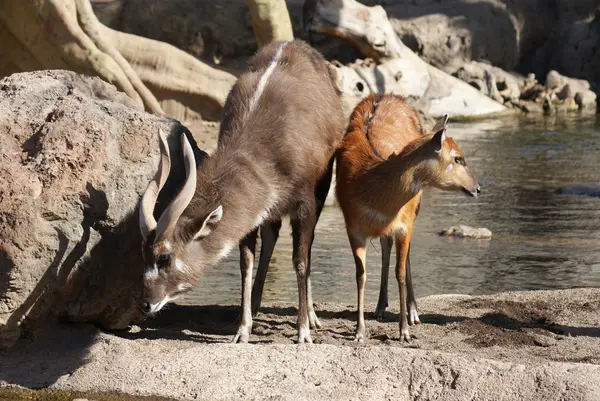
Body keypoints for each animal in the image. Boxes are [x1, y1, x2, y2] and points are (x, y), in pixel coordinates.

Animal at [136, 39, 342, 342]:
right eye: (144, 253)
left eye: (165, 257)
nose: (145, 303)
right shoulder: (255, 215)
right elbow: (246, 263)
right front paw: (242, 330)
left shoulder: (304, 201)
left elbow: (300, 260)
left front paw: (303, 331)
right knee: (271, 235)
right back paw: (254, 306)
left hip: (323, 184)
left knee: (307, 245)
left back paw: (312, 317)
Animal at [336, 93, 480, 340]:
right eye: (458, 158)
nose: (478, 188)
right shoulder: (353, 227)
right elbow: (361, 274)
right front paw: (359, 332)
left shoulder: (404, 224)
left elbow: (400, 272)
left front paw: (404, 331)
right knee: (385, 246)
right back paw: (380, 307)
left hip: (415, 210)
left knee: (404, 254)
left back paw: (413, 313)